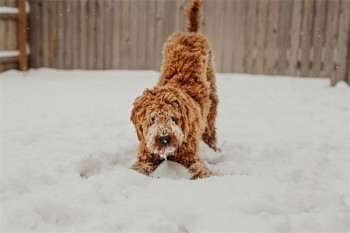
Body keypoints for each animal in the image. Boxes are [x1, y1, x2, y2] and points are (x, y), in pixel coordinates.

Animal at [131, 0, 219, 179]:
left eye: (173, 117)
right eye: (152, 119)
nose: (165, 138)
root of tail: (191, 32)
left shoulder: (191, 157)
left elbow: (200, 170)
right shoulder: (146, 154)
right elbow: (138, 167)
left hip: (212, 99)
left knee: (210, 128)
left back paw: (213, 147)